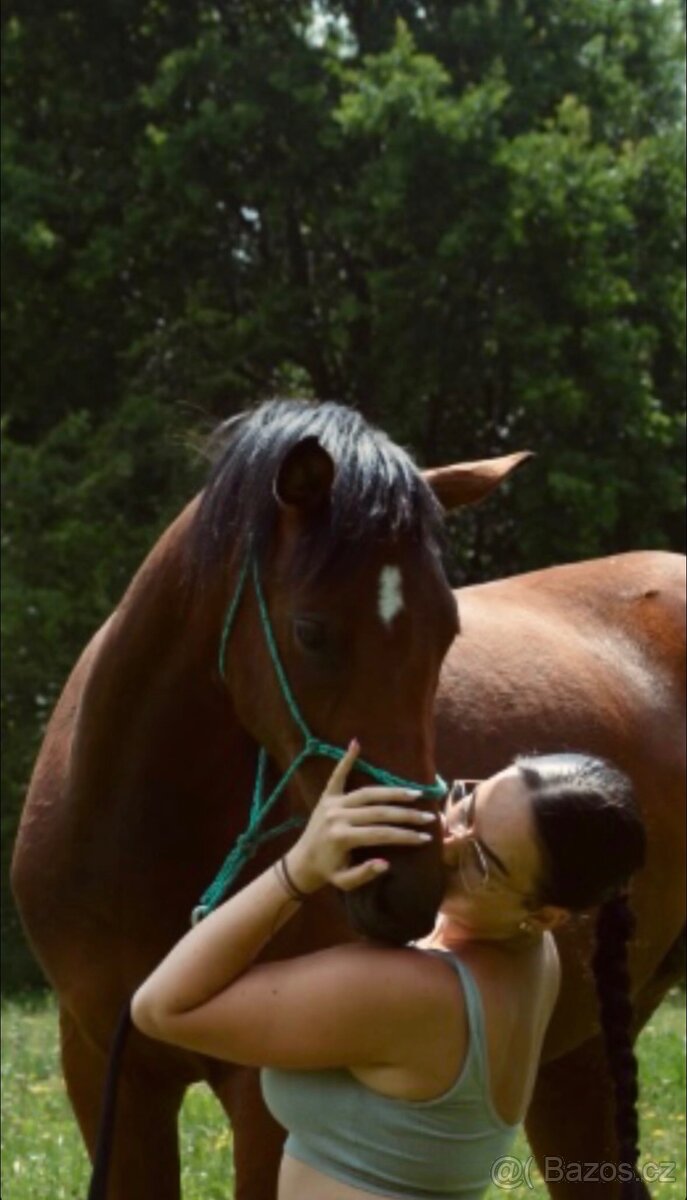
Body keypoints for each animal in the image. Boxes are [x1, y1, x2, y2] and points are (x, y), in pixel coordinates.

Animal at [11, 400, 528, 1200]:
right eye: (311, 630)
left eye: (447, 630)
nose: (409, 888)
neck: (141, 842)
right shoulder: (103, 1067)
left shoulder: (265, 1092)